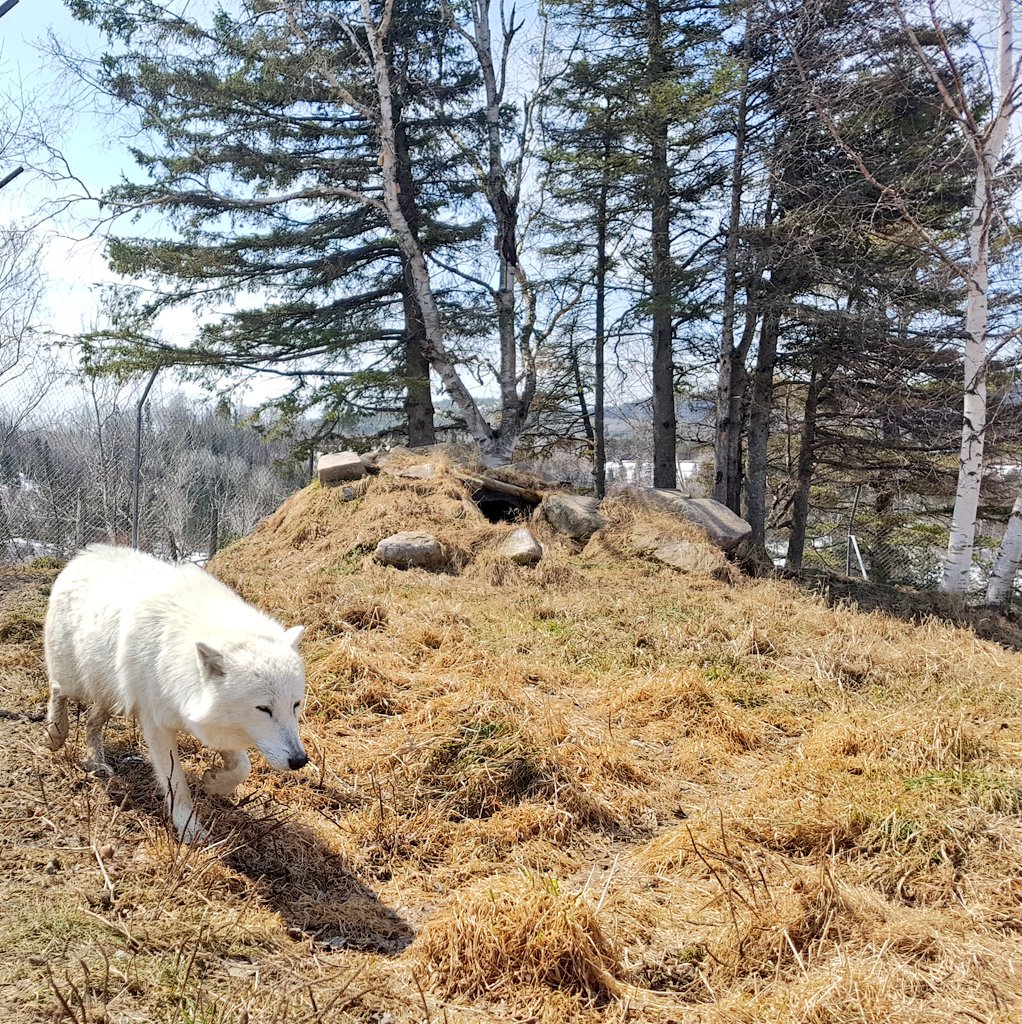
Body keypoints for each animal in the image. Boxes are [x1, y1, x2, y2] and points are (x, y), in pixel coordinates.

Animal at [43, 544, 308, 843]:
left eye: (295, 705)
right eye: (264, 708)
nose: (300, 760)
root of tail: (86, 554)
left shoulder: (209, 723)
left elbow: (243, 766)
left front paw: (214, 784)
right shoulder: (156, 724)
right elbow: (176, 784)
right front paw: (190, 830)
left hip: (111, 695)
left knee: (91, 722)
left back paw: (97, 763)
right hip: (76, 682)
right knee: (57, 690)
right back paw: (55, 734)